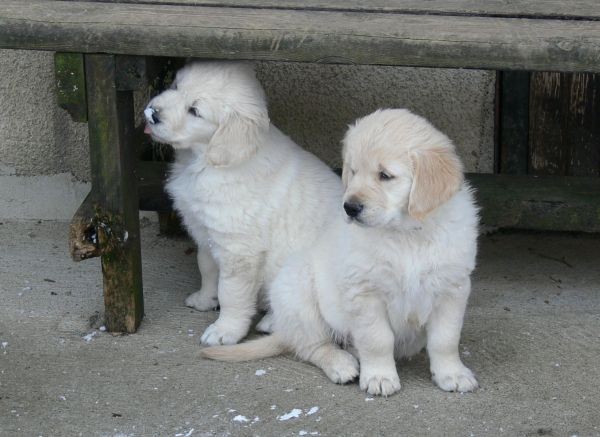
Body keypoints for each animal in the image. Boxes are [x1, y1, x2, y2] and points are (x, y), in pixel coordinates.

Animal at [143, 63, 342, 346]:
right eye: (176, 86)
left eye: (194, 111)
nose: (152, 113)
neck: (203, 161)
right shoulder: (206, 233)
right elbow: (206, 268)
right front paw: (205, 299)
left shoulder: (239, 250)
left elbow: (232, 294)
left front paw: (225, 330)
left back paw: (272, 321)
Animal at [200, 109, 478, 396]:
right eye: (353, 172)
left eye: (385, 175)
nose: (350, 207)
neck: (407, 233)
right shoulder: (365, 293)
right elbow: (377, 339)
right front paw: (380, 376)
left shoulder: (452, 289)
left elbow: (445, 340)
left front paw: (452, 373)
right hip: (300, 298)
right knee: (312, 346)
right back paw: (341, 364)